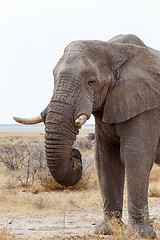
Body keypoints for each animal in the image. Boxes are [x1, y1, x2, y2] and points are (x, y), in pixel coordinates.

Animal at [13, 34, 160, 238]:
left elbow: (136, 157)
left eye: (91, 81)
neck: (116, 49)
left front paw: (139, 235)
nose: (75, 153)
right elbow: (106, 160)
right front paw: (107, 230)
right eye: (53, 77)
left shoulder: (147, 106)